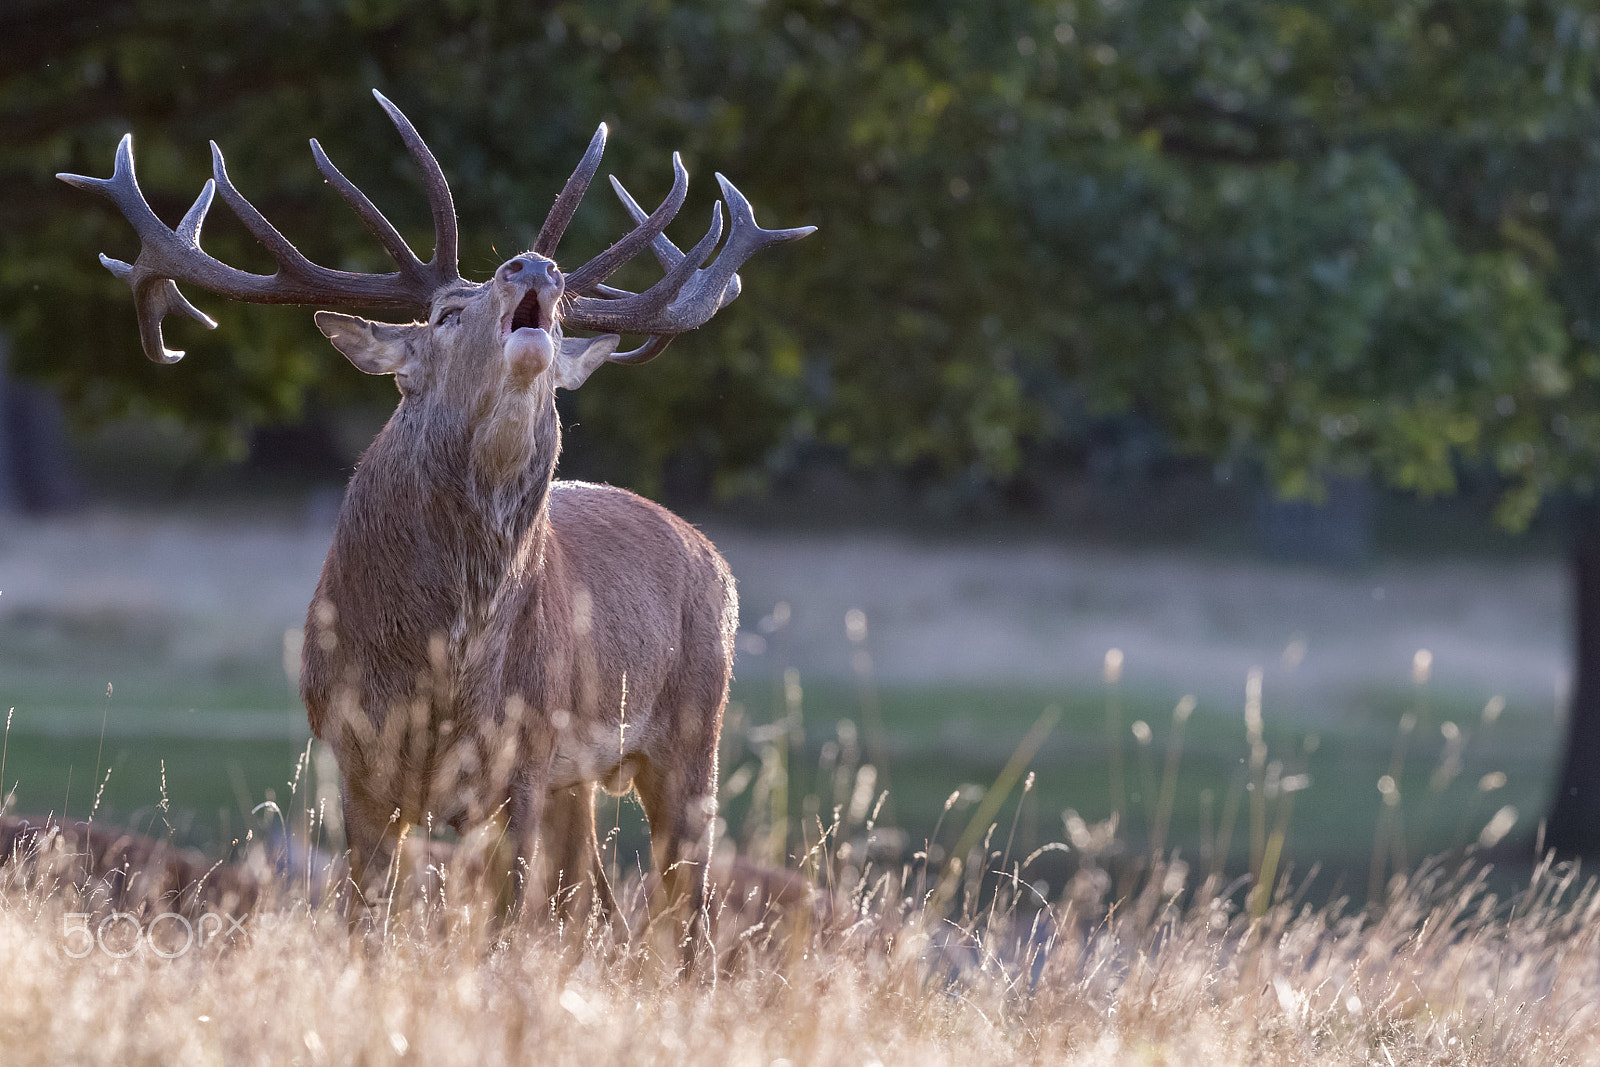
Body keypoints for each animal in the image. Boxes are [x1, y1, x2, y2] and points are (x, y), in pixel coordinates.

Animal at [60, 87, 812, 947]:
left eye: (564, 317)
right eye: (449, 313)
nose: (535, 267)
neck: (442, 671)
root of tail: (712, 556)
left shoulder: (525, 758)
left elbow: (505, 924)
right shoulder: (354, 759)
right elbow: (365, 920)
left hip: (693, 731)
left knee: (682, 917)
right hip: (588, 779)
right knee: (601, 906)